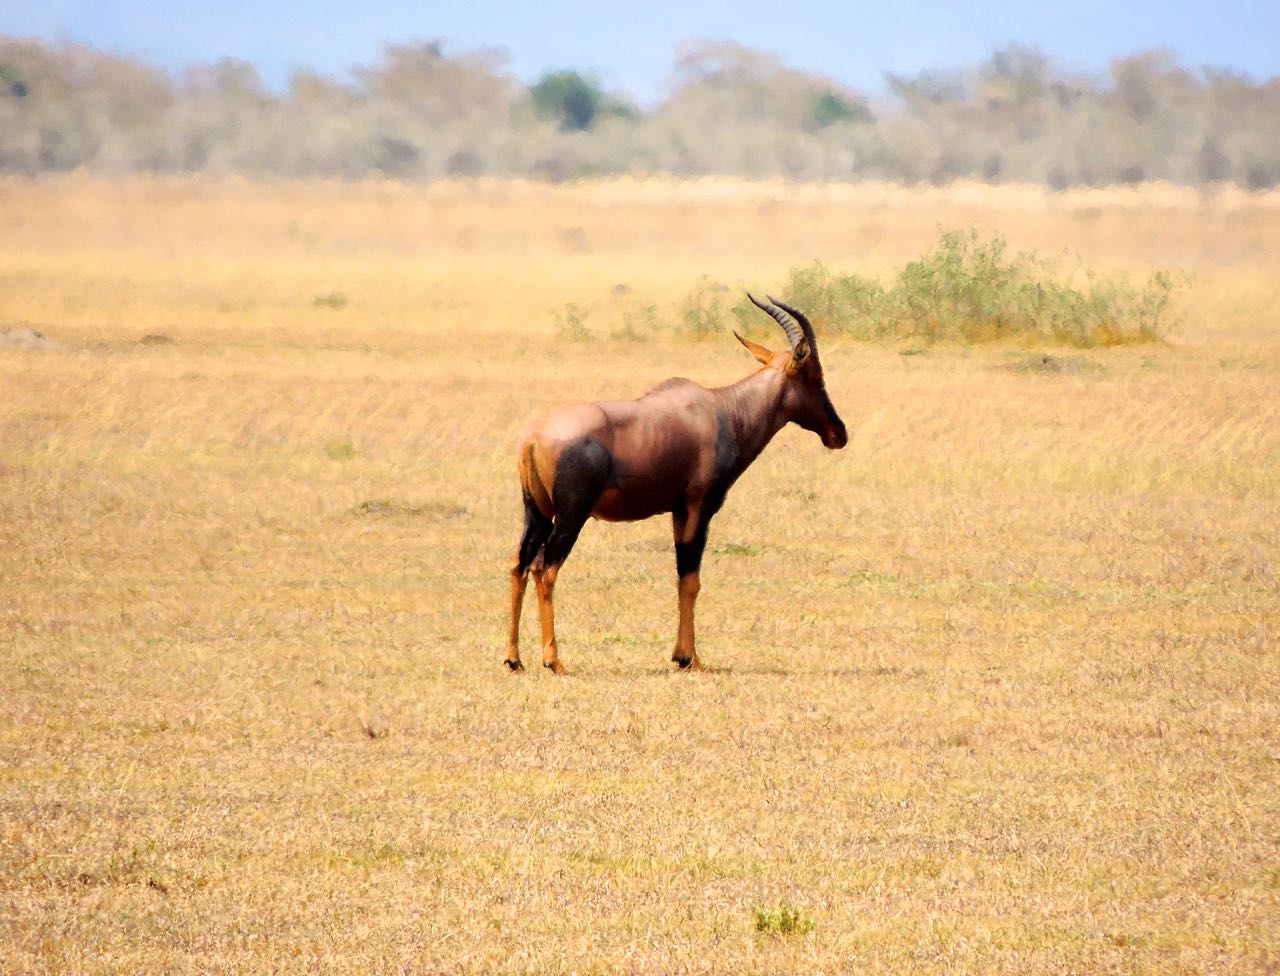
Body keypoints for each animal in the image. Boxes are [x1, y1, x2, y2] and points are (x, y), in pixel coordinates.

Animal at [504, 293, 844, 671]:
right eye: (814, 375)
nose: (838, 434)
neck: (722, 410)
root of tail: (533, 436)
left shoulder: (678, 510)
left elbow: (682, 578)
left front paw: (682, 655)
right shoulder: (700, 507)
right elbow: (691, 578)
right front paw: (689, 659)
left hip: (536, 513)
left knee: (519, 565)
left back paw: (514, 659)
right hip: (570, 516)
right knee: (545, 568)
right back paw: (554, 661)